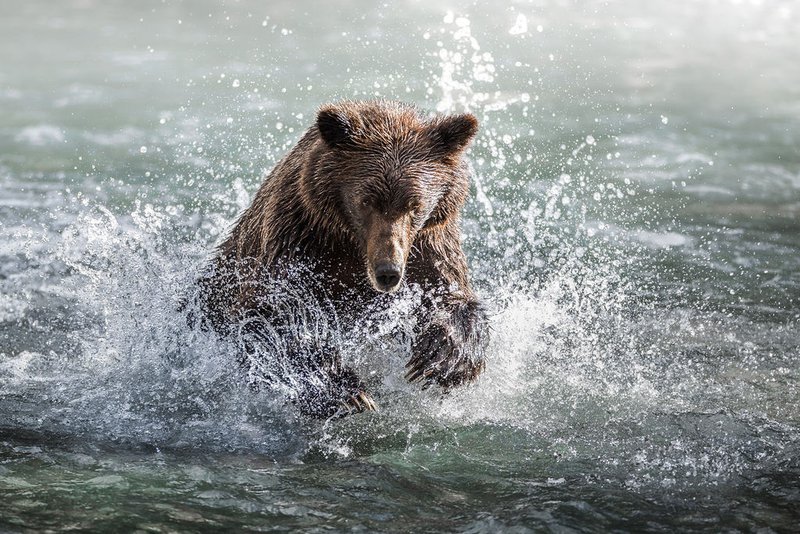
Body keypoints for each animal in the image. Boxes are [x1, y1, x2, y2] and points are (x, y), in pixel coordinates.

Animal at [196, 100, 489, 418]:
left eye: (415, 204)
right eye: (366, 201)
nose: (388, 272)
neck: (352, 245)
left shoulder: (428, 246)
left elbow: (452, 296)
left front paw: (441, 359)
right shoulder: (299, 240)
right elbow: (274, 313)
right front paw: (348, 393)